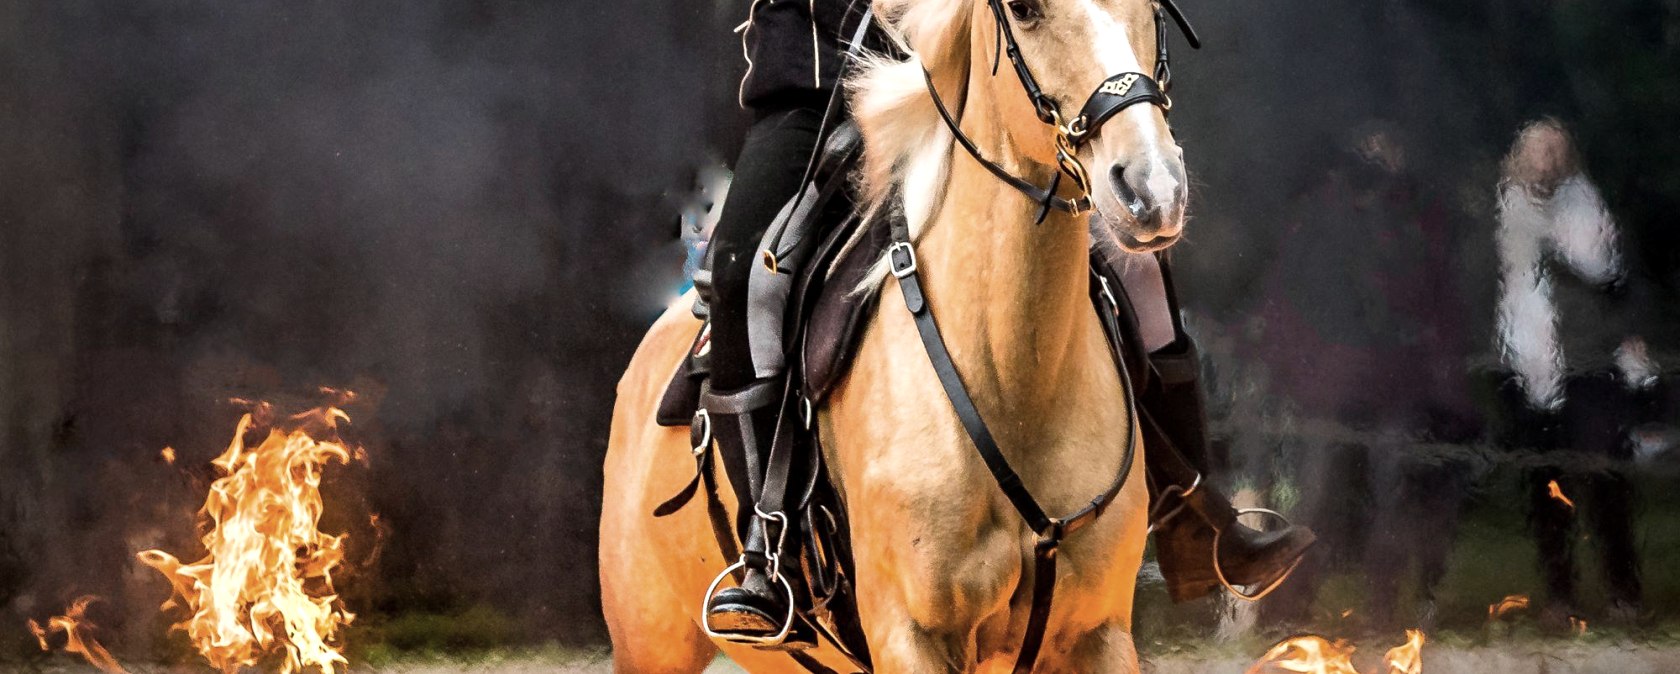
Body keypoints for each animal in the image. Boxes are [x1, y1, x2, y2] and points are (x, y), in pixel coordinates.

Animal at [600, 0, 1191, 669]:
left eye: (1154, 9)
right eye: (1023, 11)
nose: (1152, 189)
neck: (1012, 383)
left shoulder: (1099, 634)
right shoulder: (910, 636)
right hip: (650, 647)